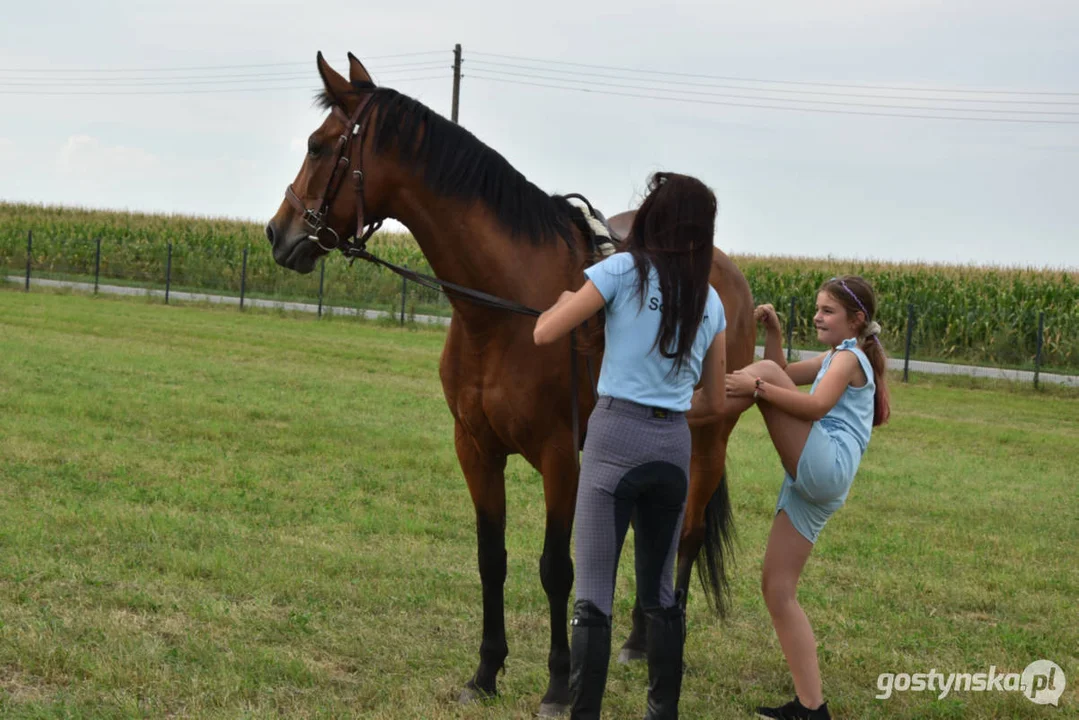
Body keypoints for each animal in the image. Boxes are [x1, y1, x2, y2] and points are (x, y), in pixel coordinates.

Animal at [267, 53, 759, 716]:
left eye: (318, 147)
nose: (278, 233)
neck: (505, 310)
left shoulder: (561, 457)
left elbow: (556, 567)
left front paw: (556, 684)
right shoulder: (476, 449)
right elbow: (491, 558)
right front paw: (485, 672)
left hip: (707, 440)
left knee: (685, 535)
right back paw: (634, 640)